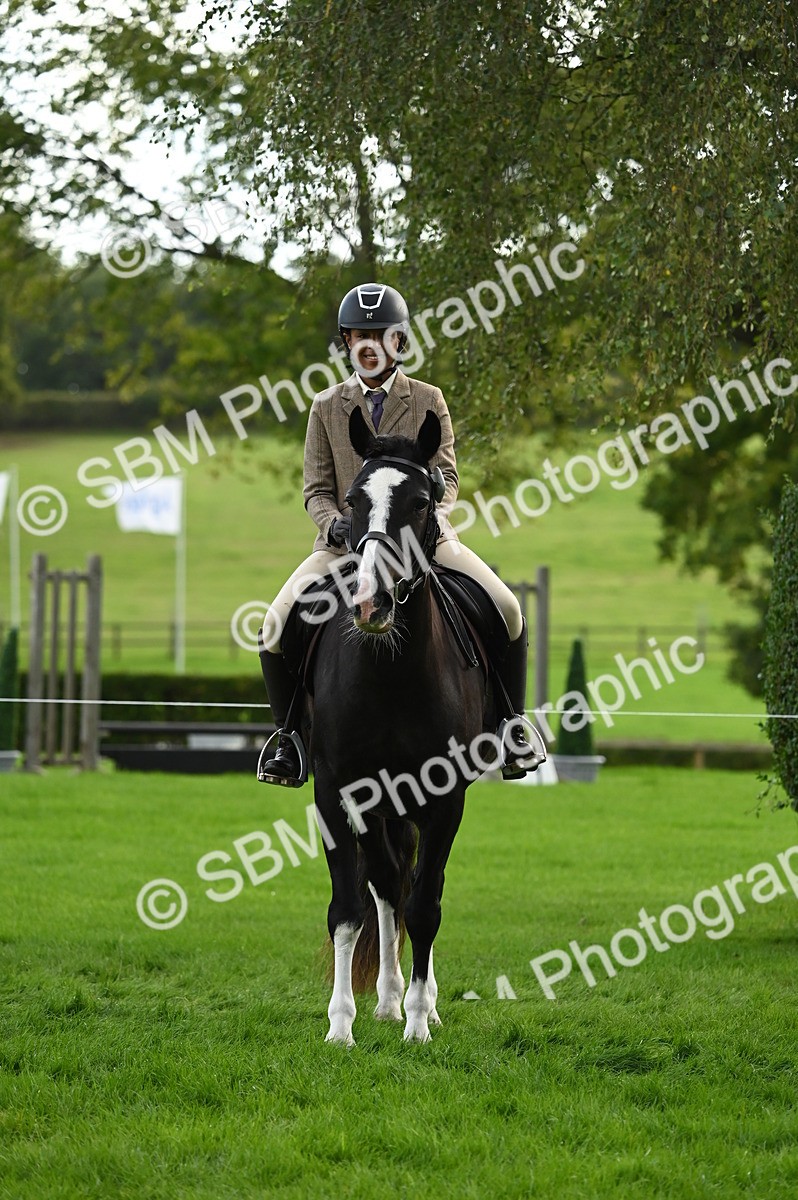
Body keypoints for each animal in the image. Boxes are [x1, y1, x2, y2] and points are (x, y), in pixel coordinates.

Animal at [305, 406, 493, 1045]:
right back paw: (386, 999)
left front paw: (418, 1025)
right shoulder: (340, 793)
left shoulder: (446, 798)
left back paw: (419, 1004)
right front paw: (341, 1027)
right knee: (387, 887)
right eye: (353, 501)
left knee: (410, 889)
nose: (371, 603)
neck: (389, 671)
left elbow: (426, 906)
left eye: (421, 499)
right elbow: (350, 909)